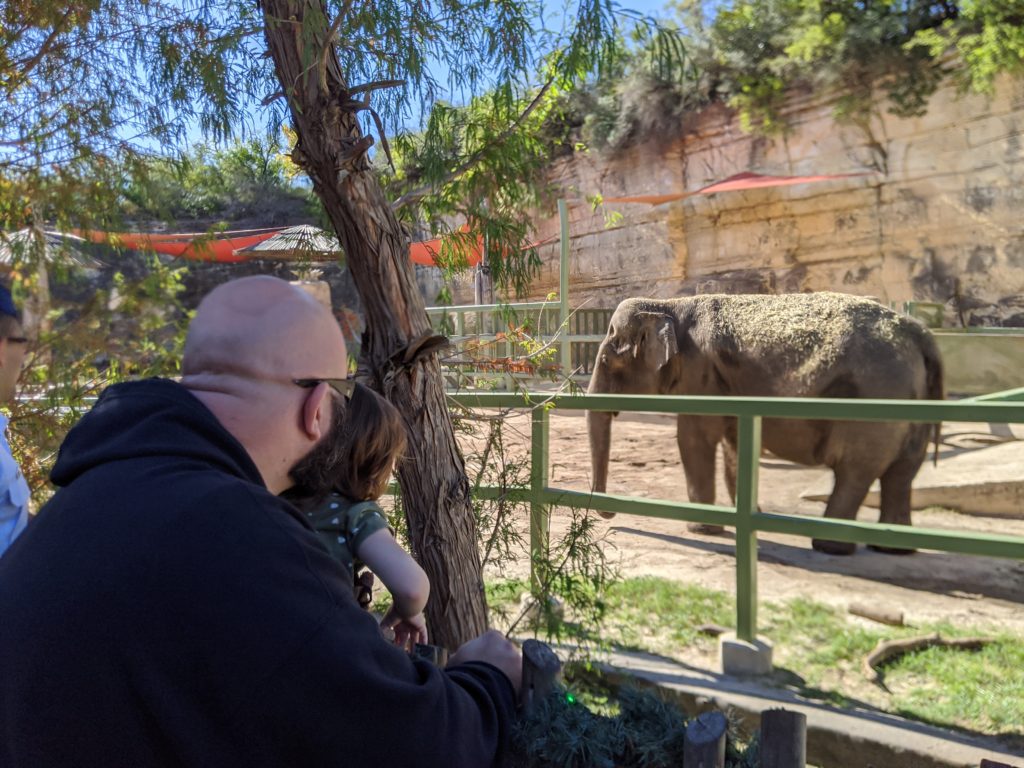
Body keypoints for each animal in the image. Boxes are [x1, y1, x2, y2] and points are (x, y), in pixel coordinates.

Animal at [586, 292, 944, 555]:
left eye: (606, 359)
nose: (610, 515)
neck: (669, 305)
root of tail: (920, 335)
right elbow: (734, 444)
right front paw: (741, 514)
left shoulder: (700, 374)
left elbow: (693, 438)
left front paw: (702, 529)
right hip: (913, 404)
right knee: (902, 472)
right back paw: (893, 549)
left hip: (874, 401)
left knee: (855, 471)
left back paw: (830, 547)